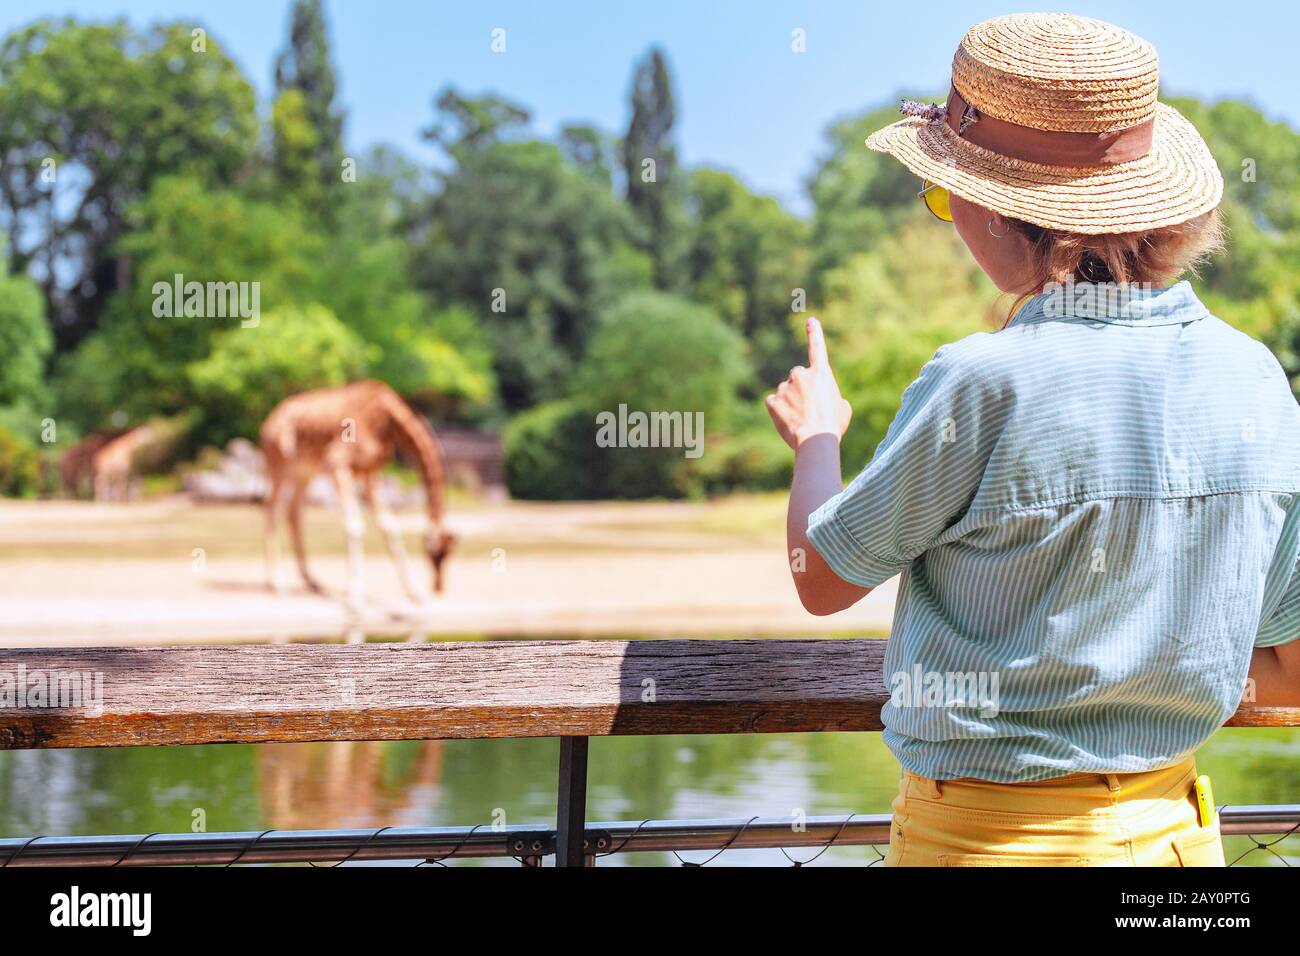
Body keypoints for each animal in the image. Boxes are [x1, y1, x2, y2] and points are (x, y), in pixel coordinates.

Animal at [256, 379, 454, 608]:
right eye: (434, 555)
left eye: (449, 554)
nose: (439, 587)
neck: (387, 422)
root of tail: (268, 422)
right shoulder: (337, 462)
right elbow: (354, 526)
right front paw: (354, 598)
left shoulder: (370, 473)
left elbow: (390, 526)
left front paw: (415, 593)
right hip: (278, 463)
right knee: (271, 506)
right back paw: (276, 582)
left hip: (305, 470)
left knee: (293, 511)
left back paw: (309, 580)